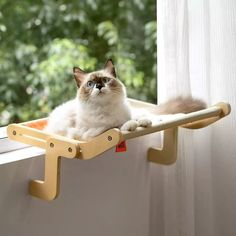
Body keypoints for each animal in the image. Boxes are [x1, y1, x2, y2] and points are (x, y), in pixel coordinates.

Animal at [44, 59, 206, 140]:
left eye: (105, 80)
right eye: (90, 84)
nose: (99, 86)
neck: (107, 107)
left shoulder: (129, 114)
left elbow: (134, 119)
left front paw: (141, 123)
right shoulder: (90, 133)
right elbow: (115, 126)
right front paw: (130, 125)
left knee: (157, 116)